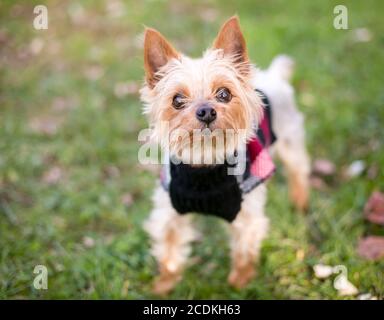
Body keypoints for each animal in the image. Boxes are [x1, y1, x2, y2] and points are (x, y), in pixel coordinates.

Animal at [140, 16, 310, 294]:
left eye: (224, 94)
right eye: (177, 100)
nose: (207, 111)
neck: (204, 163)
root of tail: (272, 75)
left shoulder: (247, 213)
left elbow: (244, 251)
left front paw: (239, 283)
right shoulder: (169, 213)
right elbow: (170, 252)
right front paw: (165, 284)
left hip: (290, 139)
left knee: (299, 170)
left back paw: (300, 200)